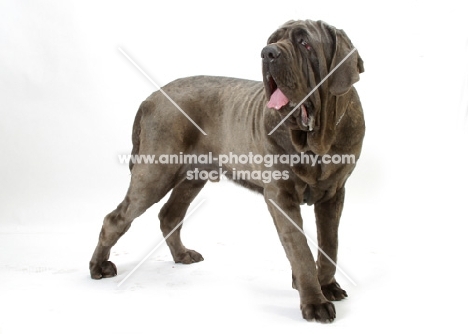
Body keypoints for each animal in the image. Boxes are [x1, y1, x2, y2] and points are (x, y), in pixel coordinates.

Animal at [88, 19, 366, 322]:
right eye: (272, 40)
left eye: (304, 42)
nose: (268, 53)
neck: (316, 141)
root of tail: (151, 98)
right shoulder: (280, 196)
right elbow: (301, 249)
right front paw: (314, 302)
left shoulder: (334, 194)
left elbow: (330, 246)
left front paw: (327, 286)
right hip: (154, 174)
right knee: (116, 219)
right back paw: (98, 266)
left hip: (191, 177)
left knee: (169, 215)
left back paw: (182, 255)